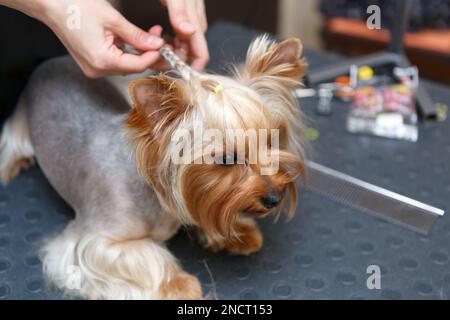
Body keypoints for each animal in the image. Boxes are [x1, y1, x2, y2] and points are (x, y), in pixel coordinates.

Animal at [0, 36, 306, 298]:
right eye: (226, 160)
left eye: (272, 139)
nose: (274, 197)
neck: (155, 190)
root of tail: (50, 60)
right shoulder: (92, 241)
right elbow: (144, 254)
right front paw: (179, 284)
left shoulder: (194, 197)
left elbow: (209, 207)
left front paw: (239, 231)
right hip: (20, 125)